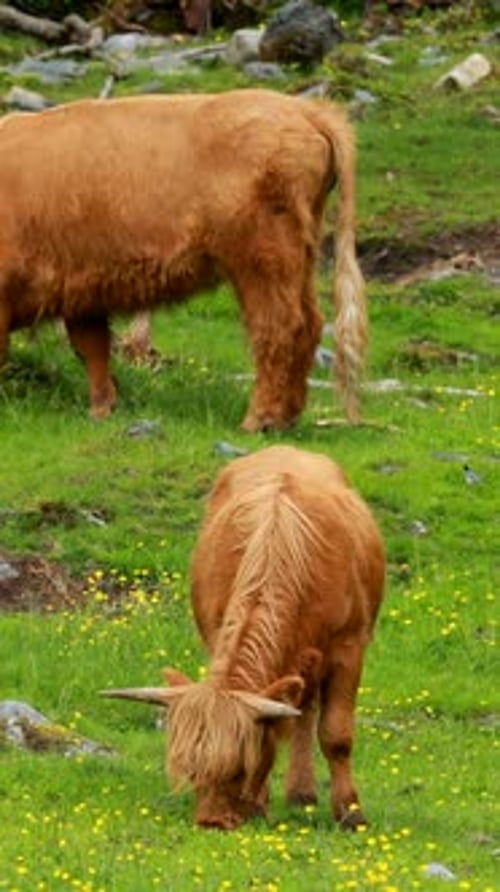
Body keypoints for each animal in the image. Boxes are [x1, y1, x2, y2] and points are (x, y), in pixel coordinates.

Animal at [0, 89, 366, 431]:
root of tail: (304, 109)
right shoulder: (82, 290)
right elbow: (92, 348)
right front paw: (102, 408)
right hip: (299, 256)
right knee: (310, 324)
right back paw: (286, 417)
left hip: (262, 258)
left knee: (280, 327)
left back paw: (259, 419)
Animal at [102, 445, 386, 830]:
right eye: (191, 770)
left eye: (238, 768)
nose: (212, 822)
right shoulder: (218, 631)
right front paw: (259, 804)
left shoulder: (349, 647)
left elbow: (336, 734)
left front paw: (351, 813)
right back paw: (300, 793)